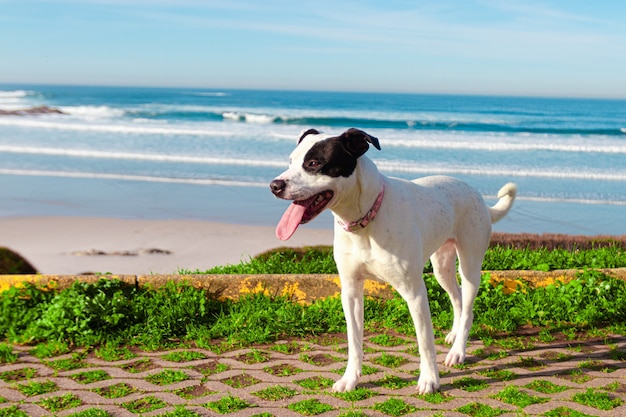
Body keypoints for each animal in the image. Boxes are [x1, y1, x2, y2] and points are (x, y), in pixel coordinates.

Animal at [270, 127, 516, 394]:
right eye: (290, 161)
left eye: (314, 163)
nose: (274, 185)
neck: (365, 220)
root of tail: (477, 195)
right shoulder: (351, 291)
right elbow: (354, 340)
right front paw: (350, 379)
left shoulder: (415, 293)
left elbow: (425, 342)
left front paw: (429, 379)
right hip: (441, 266)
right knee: (457, 297)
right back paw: (453, 334)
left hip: (470, 264)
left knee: (468, 304)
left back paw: (457, 351)